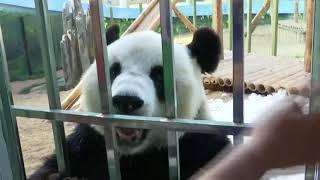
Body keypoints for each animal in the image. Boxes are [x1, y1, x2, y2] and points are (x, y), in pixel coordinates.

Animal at [29, 25, 230, 180]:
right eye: (113, 71)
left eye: (159, 75)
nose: (126, 101)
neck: (131, 154)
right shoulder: (88, 144)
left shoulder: (197, 146)